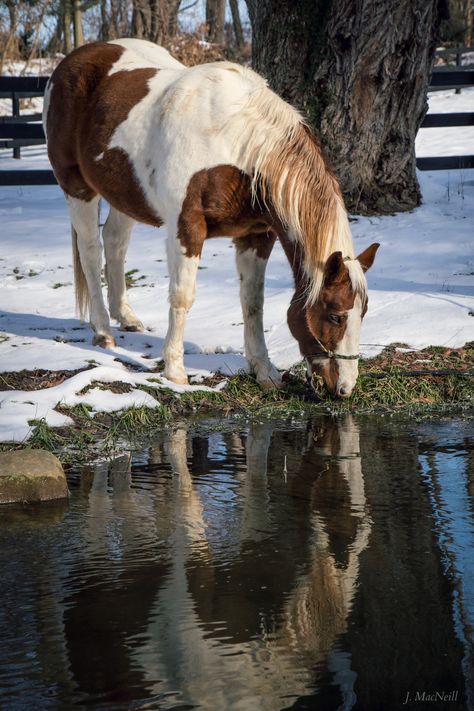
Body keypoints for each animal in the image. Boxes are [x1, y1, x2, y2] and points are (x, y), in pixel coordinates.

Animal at [42, 39, 380, 398]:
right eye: (335, 316)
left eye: (364, 312)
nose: (344, 388)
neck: (236, 143)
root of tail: (75, 59)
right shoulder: (187, 228)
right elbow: (182, 296)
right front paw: (175, 371)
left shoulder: (257, 235)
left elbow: (253, 303)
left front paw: (265, 371)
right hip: (78, 188)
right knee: (91, 253)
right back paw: (103, 331)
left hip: (123, 194)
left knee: (115, 243)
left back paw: (127, 317)